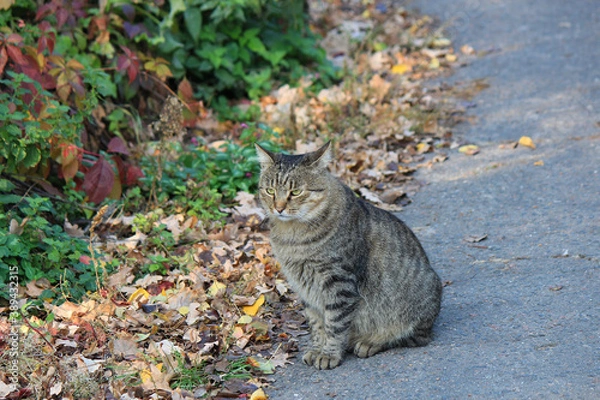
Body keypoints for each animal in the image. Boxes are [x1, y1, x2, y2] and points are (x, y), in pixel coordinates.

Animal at [253, 142, 440, 370]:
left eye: (295, 192)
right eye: (270, 190)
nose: (278, 208)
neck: (293, 238)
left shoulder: (339, 282)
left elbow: (335, 324)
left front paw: (329, 354)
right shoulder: (304, 288)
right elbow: (317, 324)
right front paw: (317, 348)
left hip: (418, 306)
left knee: (411, 337)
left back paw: (370, 342)